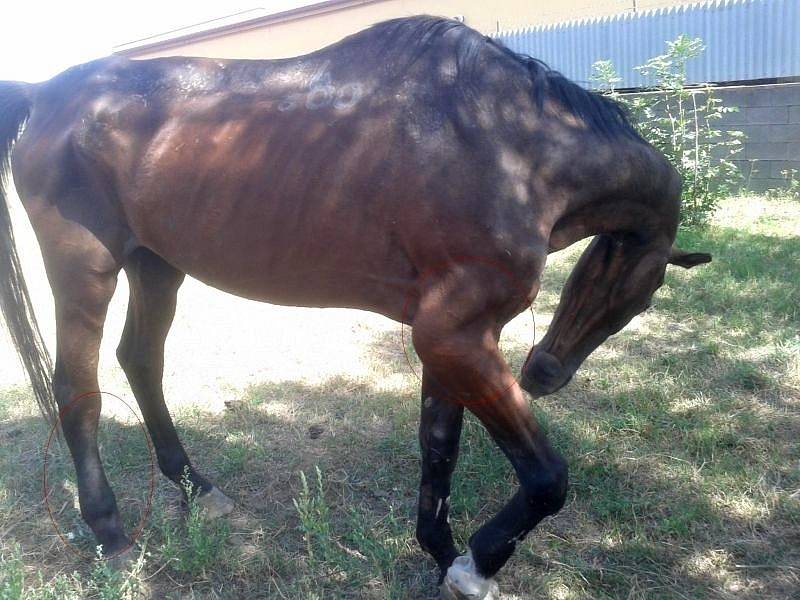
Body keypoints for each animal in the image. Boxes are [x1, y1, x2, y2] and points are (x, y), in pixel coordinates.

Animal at [1, 15, 712, 600]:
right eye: (642, 298)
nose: (545, 374)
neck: (510, 147)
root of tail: (46, 92)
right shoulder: (454, 338)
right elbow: (546, 478)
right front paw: (476, 565)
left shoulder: (452, 340)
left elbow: (438, 449)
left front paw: (442, 556)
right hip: (85, 271)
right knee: (77, 389)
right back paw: (112, 533)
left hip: (157, 265)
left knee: (141, 360)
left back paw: (197, 488)